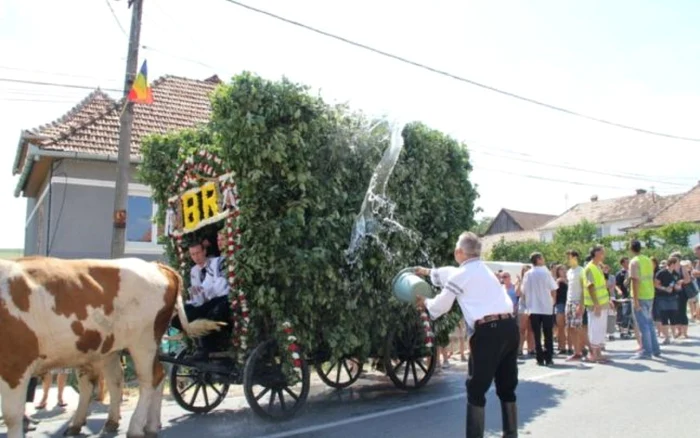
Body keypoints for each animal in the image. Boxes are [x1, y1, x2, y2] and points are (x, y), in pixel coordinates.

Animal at [0, 256, 191, 438]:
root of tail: (156, 265)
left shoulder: (15, 366)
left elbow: (12, 416)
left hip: (143, 342)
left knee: (150, 378)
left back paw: (136, 427)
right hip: (108, 347)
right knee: (119, 379)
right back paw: (140, 424)